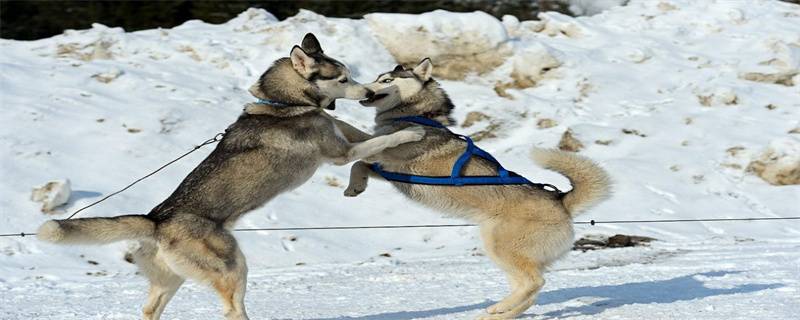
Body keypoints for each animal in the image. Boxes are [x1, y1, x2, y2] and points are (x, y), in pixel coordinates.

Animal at [36, 32, 424, 320]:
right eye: (343, 78)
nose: (369, 92)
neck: (284, 104)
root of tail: (157, 220)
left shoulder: (337, 133)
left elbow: (358, 130)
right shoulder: (339, 153)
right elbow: (378, 141)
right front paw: (411, 133)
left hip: (170, 281)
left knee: (150, 310)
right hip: (232, 267)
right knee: (232, 309)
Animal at [344, 58, 612, 318]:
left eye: (387, 80)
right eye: (378, 78)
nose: (366, 89)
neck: (416, 115)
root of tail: (561, 201)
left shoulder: (389, 158)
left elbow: (364, 153)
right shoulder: (389, 170)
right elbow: (360, 164)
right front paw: (355, 187)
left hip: (500, 246)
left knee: (534, 282)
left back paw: (499, 308)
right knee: (529, 293)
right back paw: (499, 313)